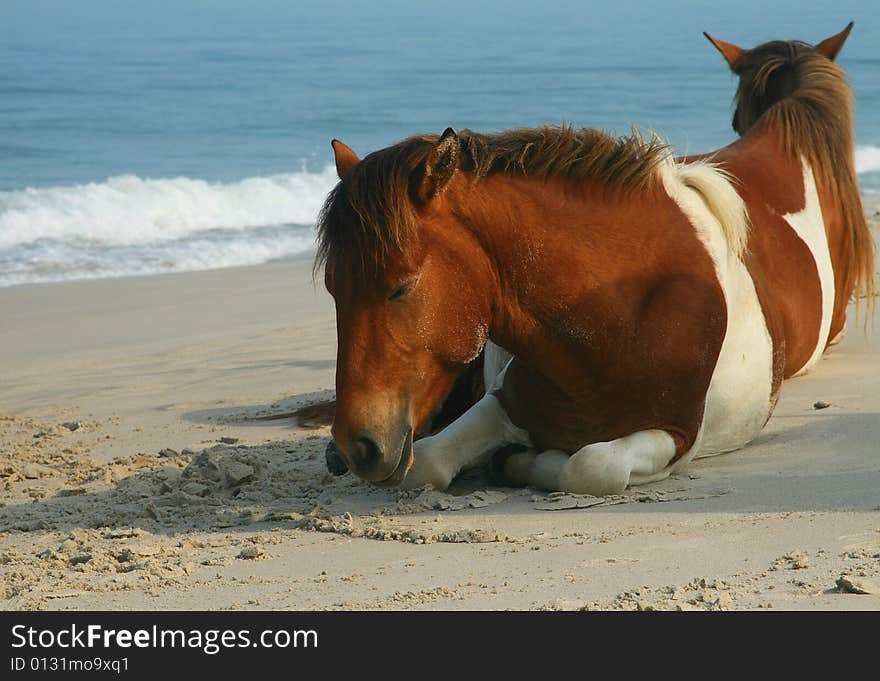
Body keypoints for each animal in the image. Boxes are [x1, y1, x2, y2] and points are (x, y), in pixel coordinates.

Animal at [318, 23, 872, 492]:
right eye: (332, 289)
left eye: (400, 286)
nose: (357, 446)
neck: (614, 318)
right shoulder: (504, 403)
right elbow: (431, 461)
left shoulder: (673, 434)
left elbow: (590, 465)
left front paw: (528, 461)